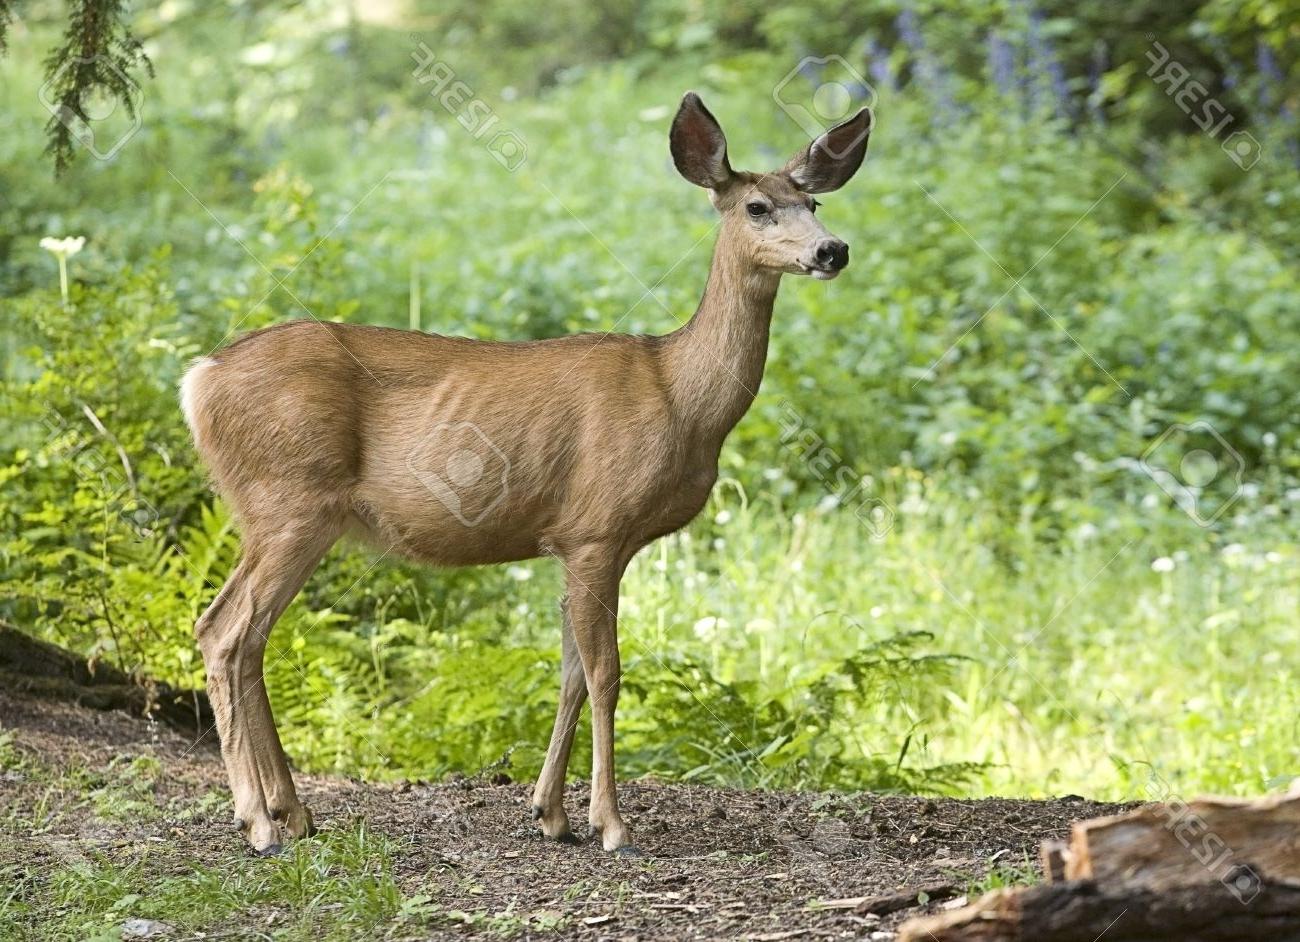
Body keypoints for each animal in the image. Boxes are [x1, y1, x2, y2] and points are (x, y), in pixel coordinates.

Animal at [181, 91, 871, 856]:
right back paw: (257, 822)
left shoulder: (573, 540)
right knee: (223, 631)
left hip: (292, 515)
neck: (681, 398)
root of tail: (198, 379)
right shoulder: (598, 529)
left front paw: (551, 814)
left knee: (249, 639)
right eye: (757, 206)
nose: (833, 249)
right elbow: (606, 673)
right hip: (287, 501)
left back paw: (294, 813)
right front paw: (611, 825)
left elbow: (570, 673)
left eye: (812, 200)